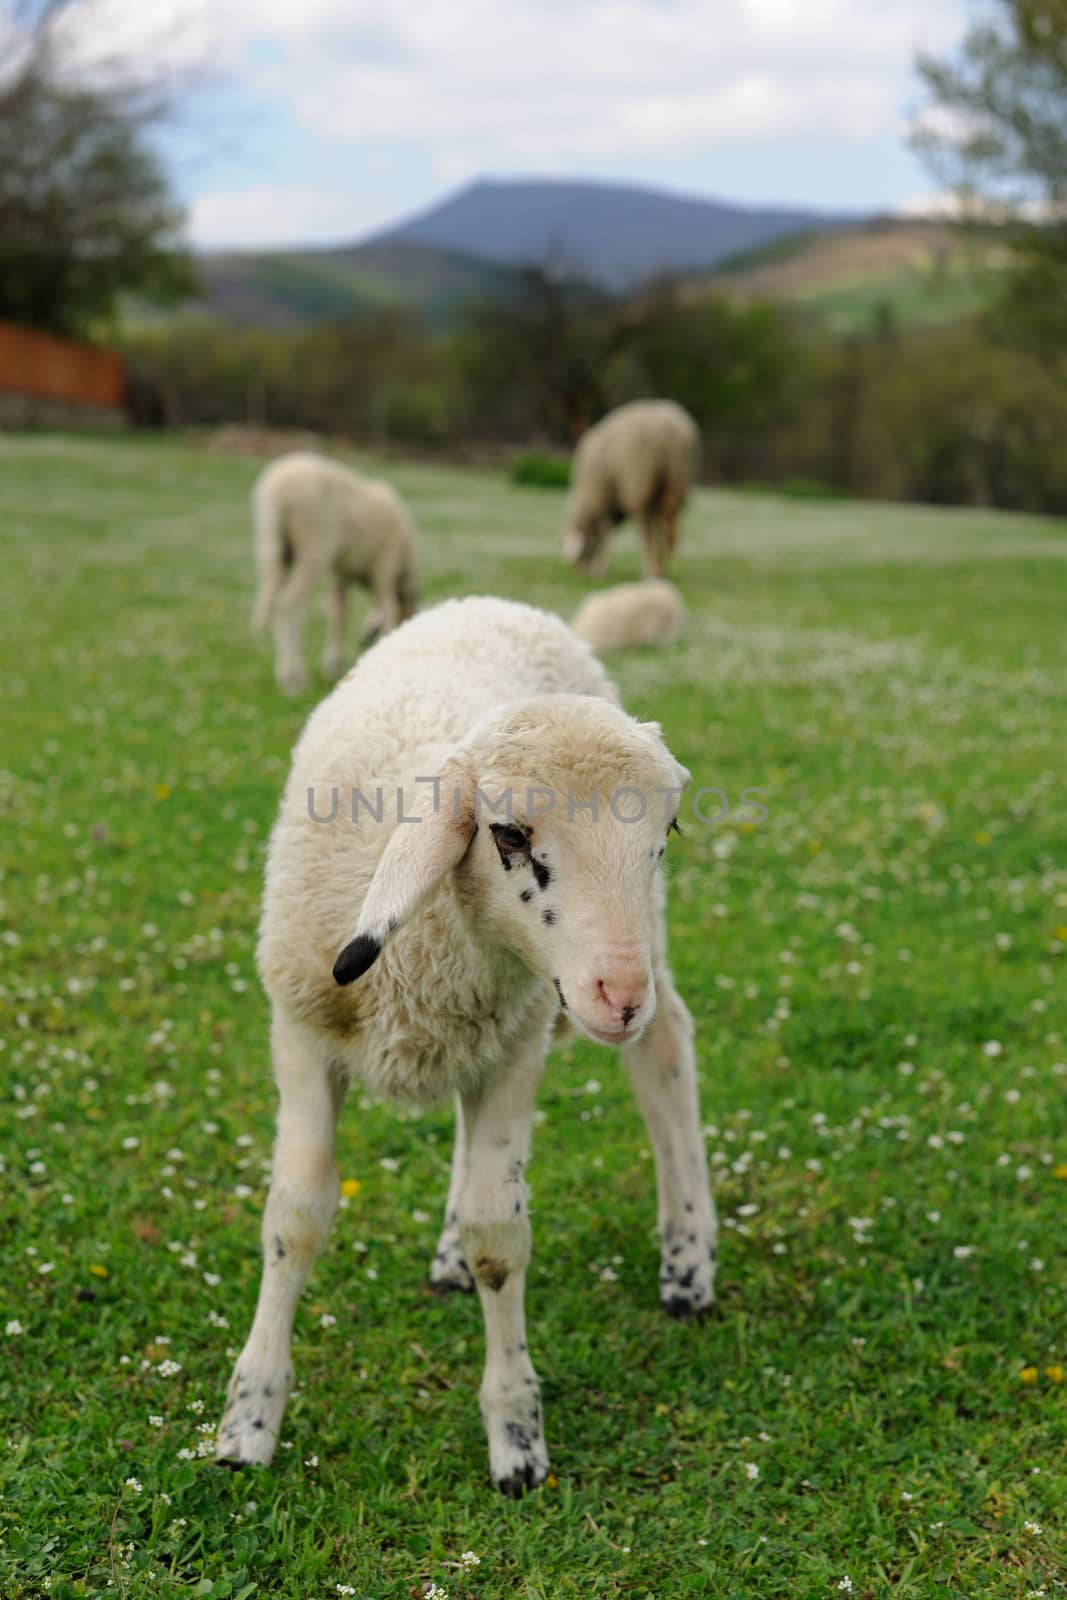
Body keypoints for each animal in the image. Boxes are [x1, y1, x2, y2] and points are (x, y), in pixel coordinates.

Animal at [215, 595, 716, 1491]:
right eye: (508, 835)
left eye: (668, 830)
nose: (618, 997)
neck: (430, 945)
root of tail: (498, 603)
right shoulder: (300, 1036)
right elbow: (295, 1217)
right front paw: (249, 1422)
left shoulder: (519, 1048)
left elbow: (499, 1236)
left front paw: (516, 1435)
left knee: (665, 1057)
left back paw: (687, 1263)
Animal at [251, 454, 415, 697]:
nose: (364, 642)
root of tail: (278, 491)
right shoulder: (384, 566)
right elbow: (389, 609)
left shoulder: (341, 572)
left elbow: (338, 614)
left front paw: (333, 664)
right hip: (314, 547)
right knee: (288, 605)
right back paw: (293, 679)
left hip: (272, 549)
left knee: (273, 600)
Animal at [559, 396, 700, 579]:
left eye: (582, 554)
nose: (582, 572)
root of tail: (670, 430)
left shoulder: (602, 500)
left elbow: (605, 534)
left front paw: (599, 570)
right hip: (677, 478)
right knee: (667, 524)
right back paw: (662, 565)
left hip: (639, 483)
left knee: (646, 530)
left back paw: (650, 570)